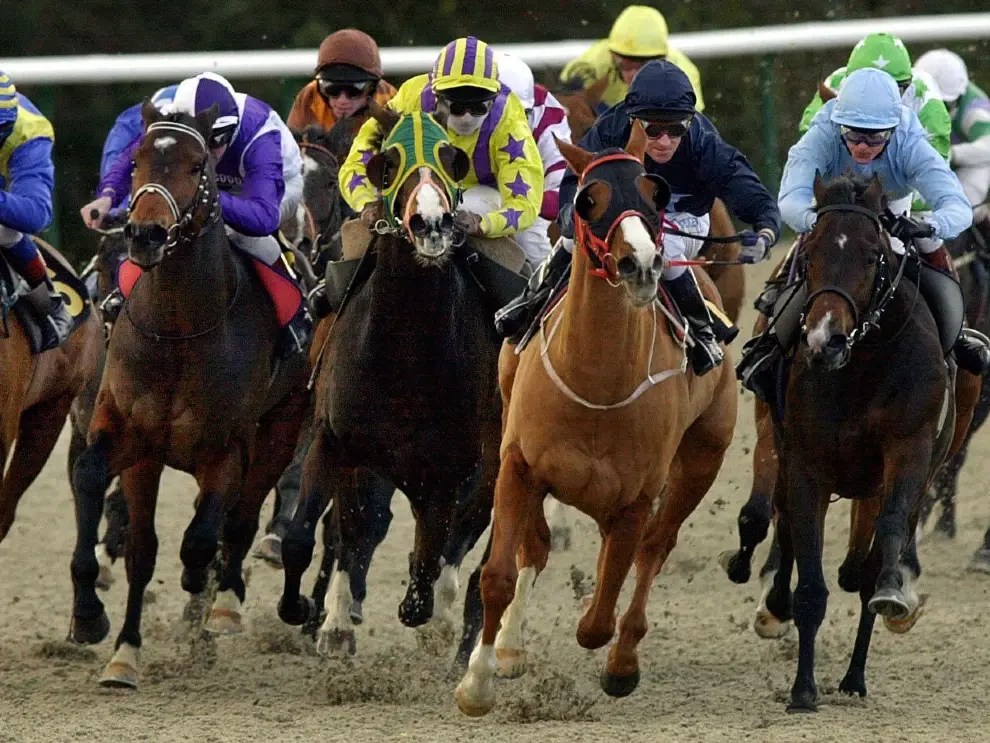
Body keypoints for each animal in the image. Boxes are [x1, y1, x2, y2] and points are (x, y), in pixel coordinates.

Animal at [68, 101, 311, 689]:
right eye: (136, 160)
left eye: (198, 166)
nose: (146, 235)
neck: (178, 329)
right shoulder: (133, 440)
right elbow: (127, 530)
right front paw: (110, 639)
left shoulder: (228, 449)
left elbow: (203, 538)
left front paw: (200, 590)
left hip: (281, 428)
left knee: (239, 521)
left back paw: (220, 607)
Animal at [276, 110, 502, 662]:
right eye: (389, 162)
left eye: (450, 157)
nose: (431, 223)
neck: (404, 351)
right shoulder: (333, 441)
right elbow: (307, 536)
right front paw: (307, 612)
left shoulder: (447, 470)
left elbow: (426, 571)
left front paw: (428, 611)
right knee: (349, 531)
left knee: (464, 543)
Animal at [455, 124, 738, 716]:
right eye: (588, 199)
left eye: (655, 195)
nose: (642, 264)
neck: (596, 382)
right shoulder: (518, 465)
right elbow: (500, 572)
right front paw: (479, 681)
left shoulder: (636, 497)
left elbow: (603, 608)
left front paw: (607, 647)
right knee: (542, 548)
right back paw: (512, 646)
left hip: (702, 460)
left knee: (654, 550)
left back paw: (623, 661)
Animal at [725, 173, 963, 711]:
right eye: (810, 252)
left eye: (874, 256)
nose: (824, 339)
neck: (865, 364)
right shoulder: (805, 463)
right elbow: (810, 580)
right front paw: (802, 689)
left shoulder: (909, 450)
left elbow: (885, 547)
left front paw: (891, 593)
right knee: (787, 527)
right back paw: (775, 604)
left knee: (861, 565)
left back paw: (855, 673)